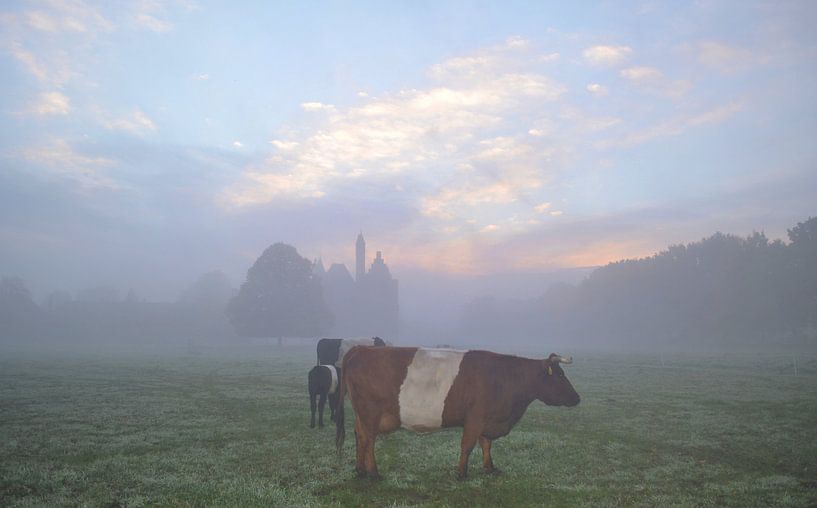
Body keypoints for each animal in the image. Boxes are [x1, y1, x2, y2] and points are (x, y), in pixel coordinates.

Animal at [334, 348, 576, 478]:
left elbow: (486, 444)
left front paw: (489, 468)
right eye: (560, 375)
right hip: (370, 413)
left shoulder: (487, 420)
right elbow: (467, 445)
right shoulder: (475, 418)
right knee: (368, 440)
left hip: (362, 415)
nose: (577, 398)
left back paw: (360, 470)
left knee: (359, 436)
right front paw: (461, 473)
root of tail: (361, 349)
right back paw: (373, 473)